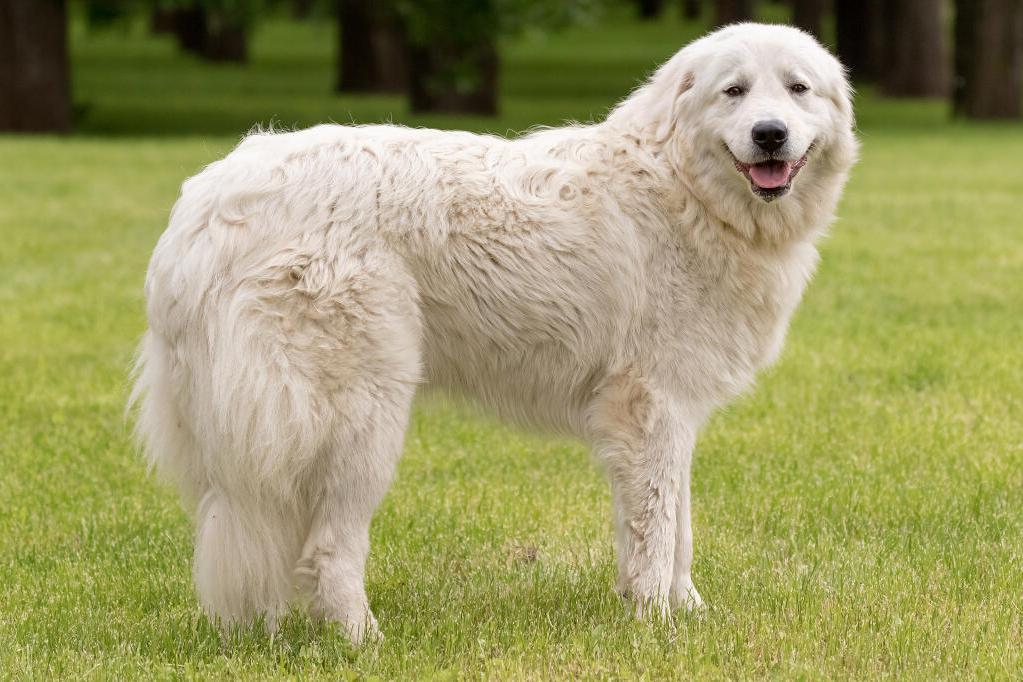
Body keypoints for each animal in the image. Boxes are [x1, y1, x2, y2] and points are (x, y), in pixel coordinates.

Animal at [131, 22, 859, 646]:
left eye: (797, 89)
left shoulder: (673, 412)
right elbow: (656, 529)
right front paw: (656, 625)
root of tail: (203, 206)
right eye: (733, 91)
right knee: (330, 549)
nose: (770, 134)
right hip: (361, 419)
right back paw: (364, 641)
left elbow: (677, 526)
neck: (688, 189)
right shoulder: (652, 410)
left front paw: (685, 611)